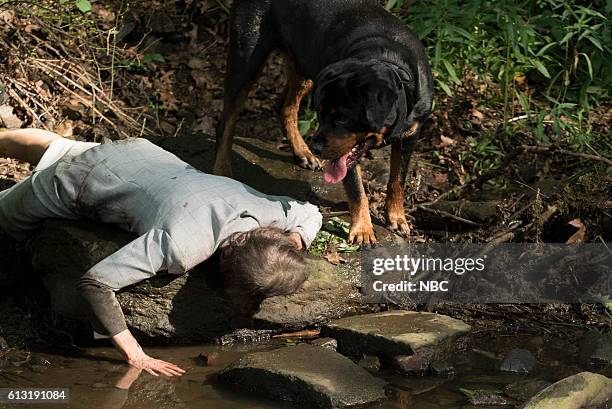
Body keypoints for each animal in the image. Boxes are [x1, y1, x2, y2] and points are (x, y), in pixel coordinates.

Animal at [215, 0, 436, 242]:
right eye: (320, 115)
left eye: (342, 118)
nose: (317, 147)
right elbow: (356, 189)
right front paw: (363, 230)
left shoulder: (410, 136)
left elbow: (398, 180)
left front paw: (397, 218)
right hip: (247, 58)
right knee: (226, 121)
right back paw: (222, 171)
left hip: (303, 63)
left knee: (285, 106)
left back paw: (302, 152)